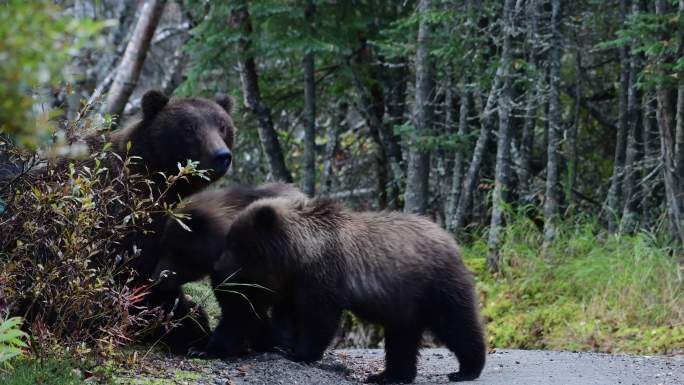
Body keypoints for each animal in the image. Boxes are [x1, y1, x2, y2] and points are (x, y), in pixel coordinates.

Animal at [219, 196, 486, 382]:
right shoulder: (294, 282)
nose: (219, 267)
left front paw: (299, 353)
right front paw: (280, 343)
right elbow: (288, 315)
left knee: (456, 323)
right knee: (402, 338)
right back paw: (388, 376)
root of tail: (450, 239)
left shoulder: (324, 273)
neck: (299, 254)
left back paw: (467, 369)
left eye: (235, 243)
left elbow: (318, 318)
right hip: (407, 303)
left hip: (434, 285)